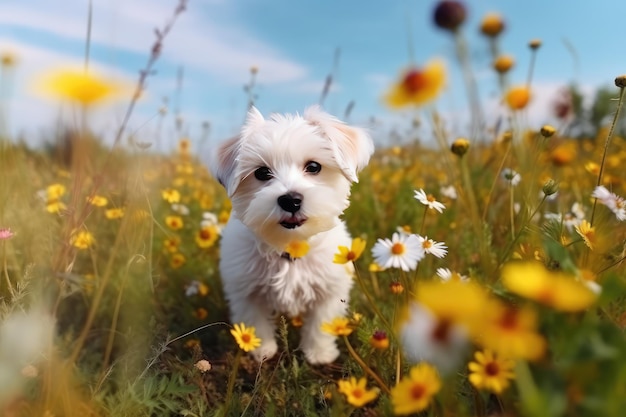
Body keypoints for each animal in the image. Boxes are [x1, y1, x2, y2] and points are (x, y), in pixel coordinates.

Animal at [211, 105, 370, 362]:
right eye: (262, 173)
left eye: (314, 167)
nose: (291, 200)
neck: (290, 246)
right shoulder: (245, 289)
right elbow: (255, 321)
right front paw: (261, 350)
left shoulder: (330, 289)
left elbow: (321, 323)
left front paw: (319, 353)